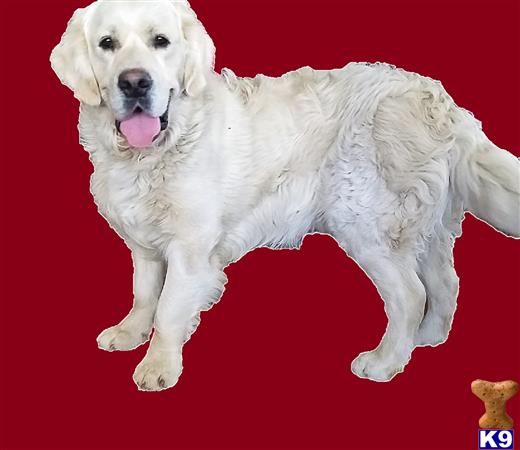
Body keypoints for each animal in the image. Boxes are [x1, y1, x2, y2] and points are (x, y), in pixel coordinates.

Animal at [50, 0, 516, 390]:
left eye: (160, 41)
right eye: (107, 44)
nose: (134, 83)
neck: (156, 150)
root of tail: (443, 104)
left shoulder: (190, 248)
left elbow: (168, 308)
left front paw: (158, 367)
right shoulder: (145, 243)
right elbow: (144, 292)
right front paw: (129, 333)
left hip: (364, 222)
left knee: (411, 294)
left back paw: (384, 362)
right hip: (425, 224)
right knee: (446, 282)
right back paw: (426, 339)